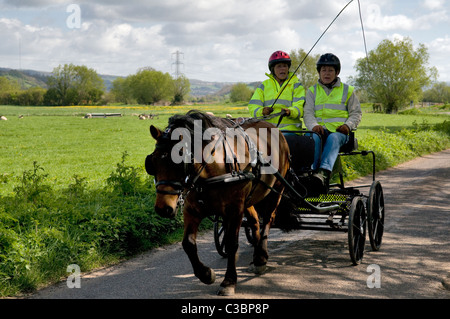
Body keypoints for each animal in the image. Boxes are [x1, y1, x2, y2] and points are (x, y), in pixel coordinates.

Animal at [146, 110, 290, 298]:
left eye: (179, 163)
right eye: (152, 163)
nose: (163, 209)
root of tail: (274, 126)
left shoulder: (235, 210)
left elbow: (231, 243)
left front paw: (229, 281)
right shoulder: (192, 209)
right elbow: (188, 243)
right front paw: (206, 274)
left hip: (277, 189)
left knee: (267, 219)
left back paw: (260, 257)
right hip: (250, 197)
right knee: (254, 221)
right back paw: (259, 255)